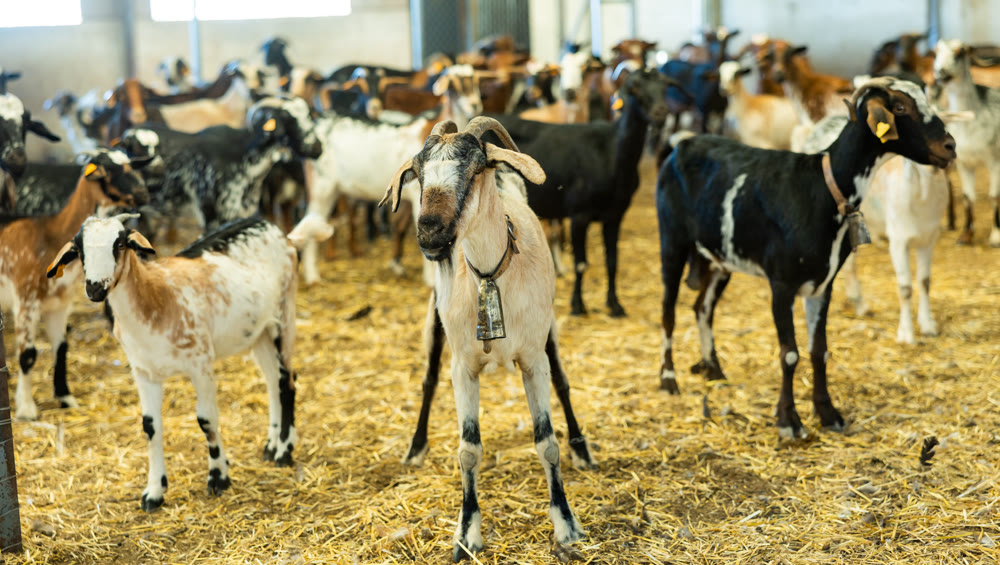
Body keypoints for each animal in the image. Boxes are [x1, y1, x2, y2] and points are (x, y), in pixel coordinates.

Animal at [2, 150, 149, 421]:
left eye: (131, 165)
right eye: (107, 170)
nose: (144, 193)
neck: (48, 235)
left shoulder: (59, 304)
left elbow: (61, 348)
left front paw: (65, 397)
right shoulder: (26, 300)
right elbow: (28, 354)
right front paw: (26, 408)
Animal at [47, 215, 307, 511]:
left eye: (120, 243)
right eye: (79, 249)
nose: (95, 287)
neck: (155, 298)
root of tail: (272, 227)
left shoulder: (200, 363)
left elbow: (207, 420)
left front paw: (218, 478)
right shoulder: (143, 371)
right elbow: (150, 427)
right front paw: (154, 492)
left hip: (284, 316)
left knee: (287, 382)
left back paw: (284, 452)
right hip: (259, 332)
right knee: (272, 381)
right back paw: (272, 446)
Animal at [380, 117, 595, 561]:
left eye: (477, 167)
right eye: (418, 172)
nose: (429, 230)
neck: (489, 274)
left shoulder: (533, 359)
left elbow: (547, 443)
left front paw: (566, 525)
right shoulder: (462, 367)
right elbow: (468, 450)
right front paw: (466, 534)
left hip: (550, 330)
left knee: (564, 382)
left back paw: (582, 448)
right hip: (434, 325)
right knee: (427, 381)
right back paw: (415, 448)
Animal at [655, 78, 956, 439]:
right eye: (900, 107)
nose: (950, 146)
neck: (824, 188)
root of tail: (680, 145)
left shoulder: (821, 285)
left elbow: (818, 351)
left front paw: (828, 413)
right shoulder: (781, 284)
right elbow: (790, 354)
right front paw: (789, 421)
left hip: (719, 259)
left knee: (702, 307)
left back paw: (714, 369)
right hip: (672, 241)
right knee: (668, 313)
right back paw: (668, 380)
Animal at [933, 39, 1000, 246]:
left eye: (959, 52)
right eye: (935, 52)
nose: (940, 72)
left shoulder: (994, 161)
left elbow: (995, 196)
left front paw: (996, 236)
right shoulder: (964, 163)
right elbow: (967, 198)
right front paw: (965, 235)